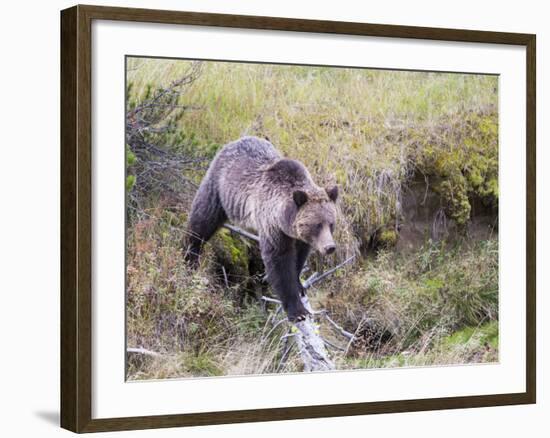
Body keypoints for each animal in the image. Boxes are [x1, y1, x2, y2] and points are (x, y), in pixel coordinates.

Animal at [188, 137, 338, 322]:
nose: (330, 247)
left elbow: (299, 258)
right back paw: (190, 256)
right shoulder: (272, 226)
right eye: (317, 224)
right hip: (217, 187)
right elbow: (279, 263)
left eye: (331, 223)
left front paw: (299, 285)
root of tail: (235, 141)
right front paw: (298, 311)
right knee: (202, 220)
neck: (285, 220)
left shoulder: (300, 238)